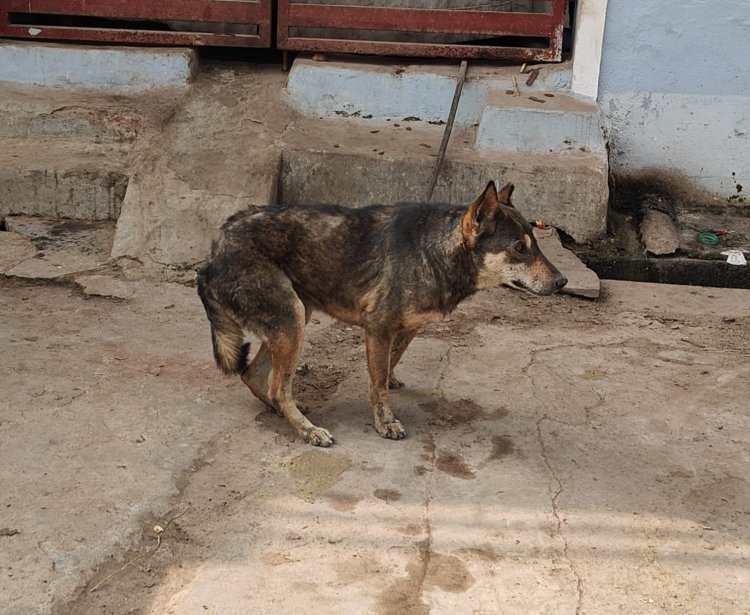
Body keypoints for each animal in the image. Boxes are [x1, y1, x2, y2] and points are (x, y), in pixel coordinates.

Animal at [197, 183, 568, 448]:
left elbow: (389, 364)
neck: (434, 250)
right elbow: (377, 385)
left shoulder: (405, 329)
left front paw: (390, 380)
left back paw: (289, 412)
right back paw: (307, 430)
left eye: (536, 243)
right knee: (276, 386)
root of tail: (215, 250)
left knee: (257, 378)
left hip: (295, 317)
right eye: (519, 248)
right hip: (292, 320)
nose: (563, 281)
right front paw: (385, 422)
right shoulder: (378, 327)